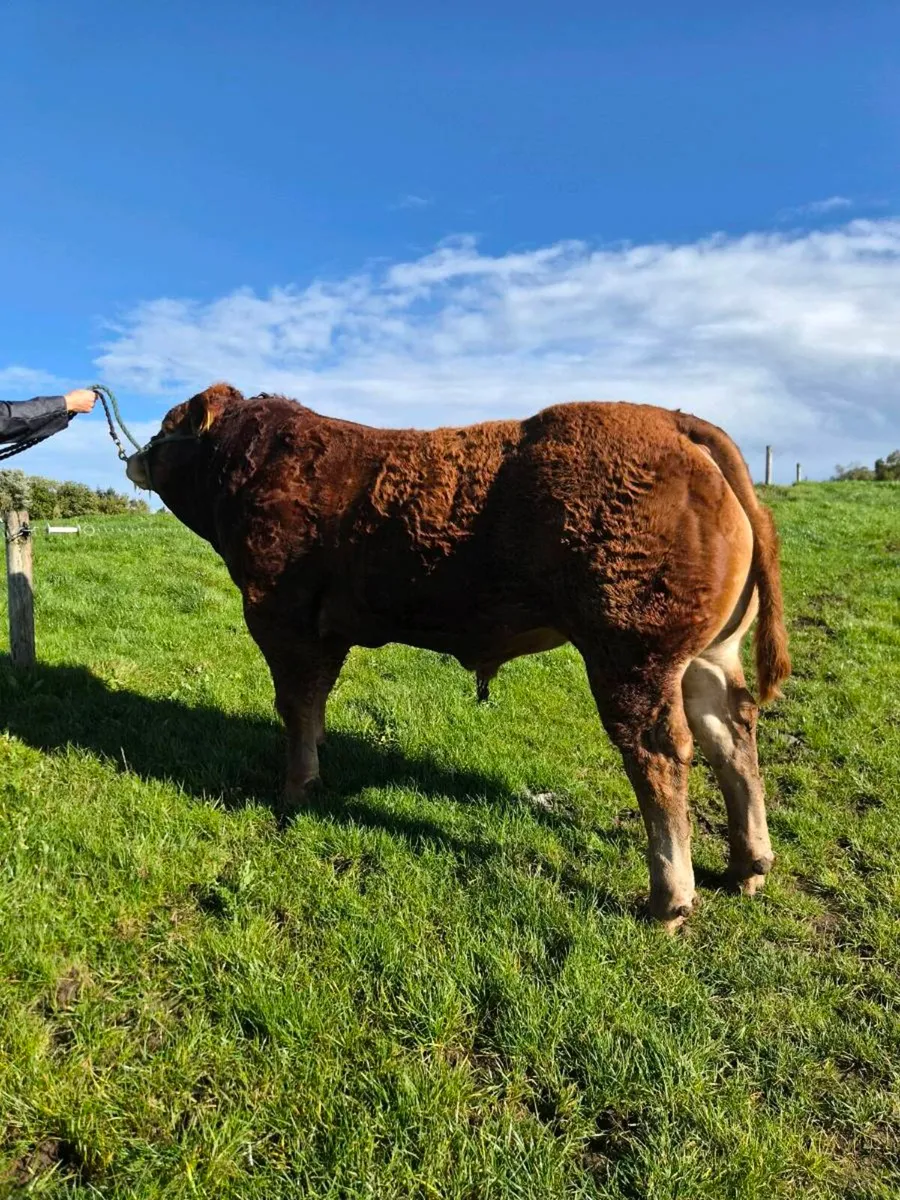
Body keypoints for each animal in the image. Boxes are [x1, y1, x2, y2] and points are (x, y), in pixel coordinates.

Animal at [126, 384, 790, 930]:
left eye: (166, 422)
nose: (134, 453)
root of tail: (672, 420)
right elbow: (313, 707)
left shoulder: (281, 618)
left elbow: (295, 706)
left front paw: (296, 789)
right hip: (706, 656)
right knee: (731, 733)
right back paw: (748, 864)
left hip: (631, 653)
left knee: (660, 753)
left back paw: (668, 899)